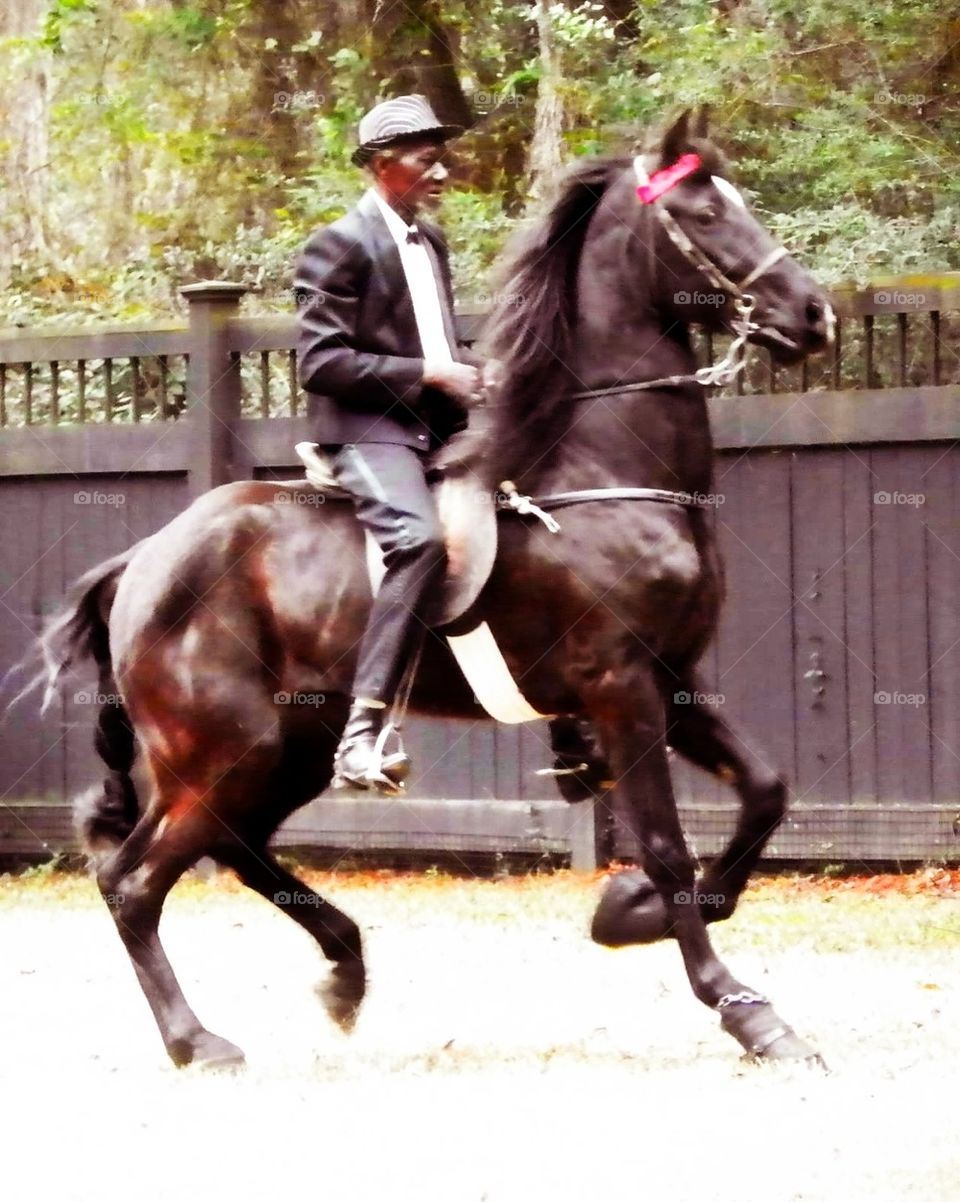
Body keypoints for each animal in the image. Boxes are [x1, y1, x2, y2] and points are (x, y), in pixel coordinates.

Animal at [44, 110, 834, 1068]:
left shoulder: (674, 678)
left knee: (233, 848)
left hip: (283, 747)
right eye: (705, 214)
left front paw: (626, 913)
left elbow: (766, 792)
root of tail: (144, 562)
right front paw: (745, 1008)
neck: (607, 472)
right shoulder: (624, 688)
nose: (815, 314)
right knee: (133, 881)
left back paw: (344, 971)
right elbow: (668, 847)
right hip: (224, 750)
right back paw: (199, 1040)